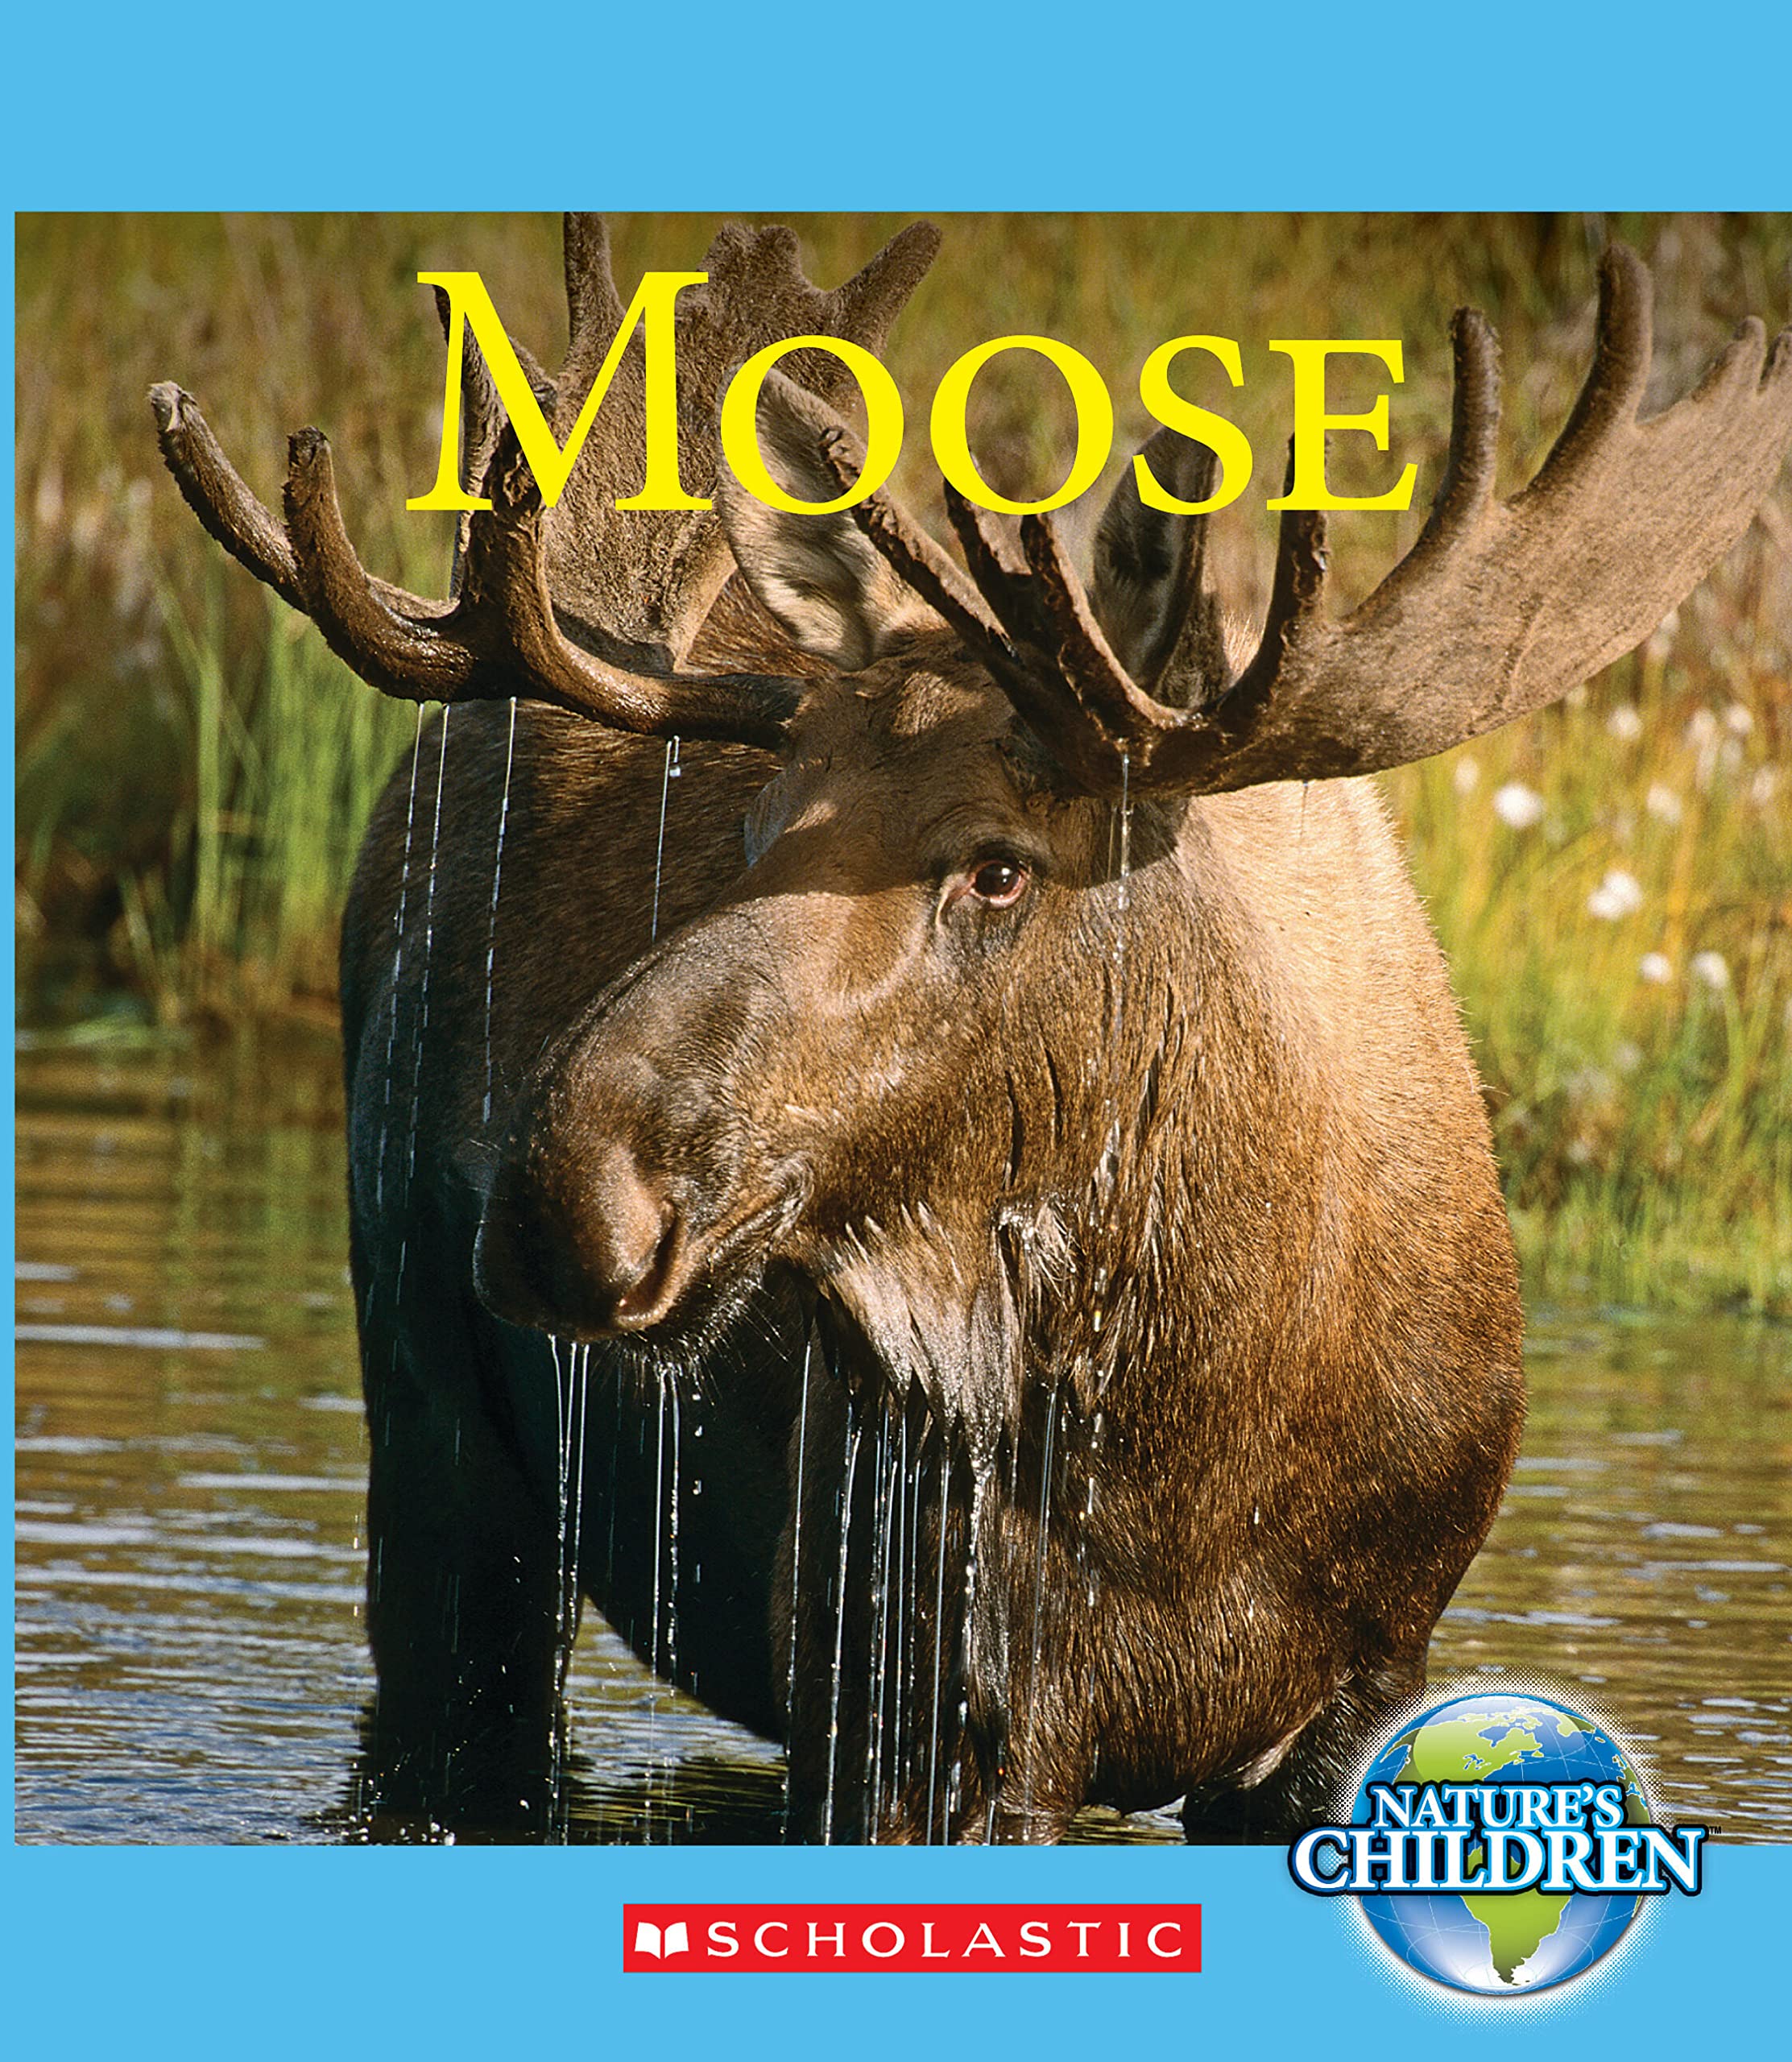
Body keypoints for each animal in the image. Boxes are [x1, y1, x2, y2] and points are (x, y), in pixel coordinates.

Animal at [150, 217, 1792, 1843]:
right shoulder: (921, 1689)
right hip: (436, 1427)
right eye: (750, 821)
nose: (569, 1196)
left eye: (1000, 866)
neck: (1204, 1446)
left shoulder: (1358, 1686)